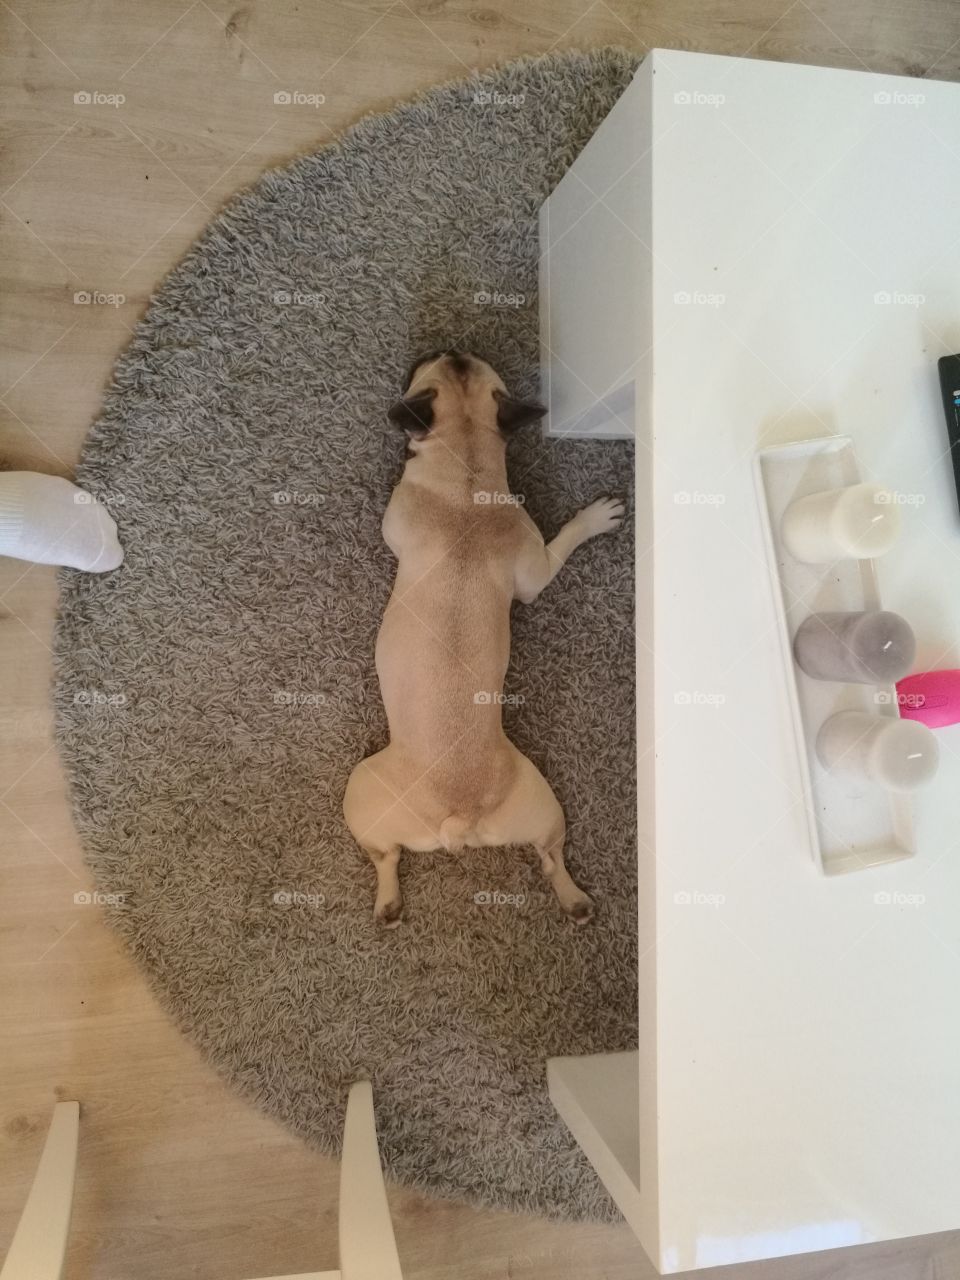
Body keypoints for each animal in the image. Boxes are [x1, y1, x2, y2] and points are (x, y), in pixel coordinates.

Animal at [343, 355, 627, 926]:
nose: (451, 347)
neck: (468, 472)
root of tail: (459, 818)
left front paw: (590, 520)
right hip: (541, 801)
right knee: (550, 856)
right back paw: (574, 900)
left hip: (358, 786)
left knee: (386, 856)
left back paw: (387, 902)